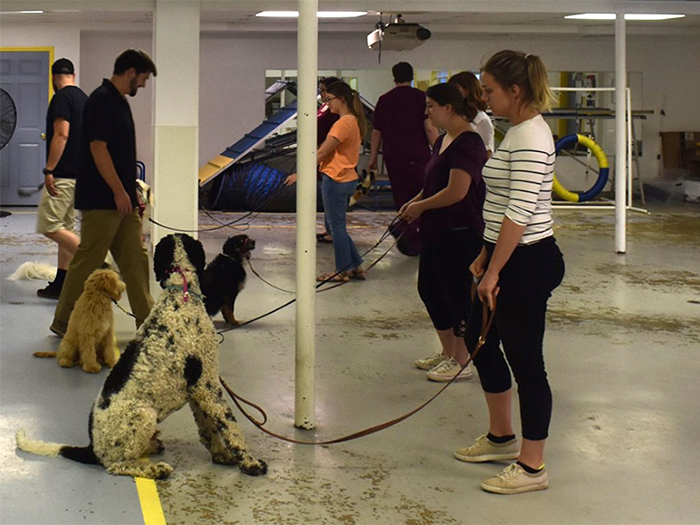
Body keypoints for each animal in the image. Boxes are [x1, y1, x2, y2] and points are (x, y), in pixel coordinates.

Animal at [17, 233, 268, 478]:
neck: (180, 295)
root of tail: (93, 448)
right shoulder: (208, 385)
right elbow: (230, 427)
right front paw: (250, 462)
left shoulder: (196, 389)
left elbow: (208, 428)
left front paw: (221, 455)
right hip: (144, 416)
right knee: (118, 465)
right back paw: (155, 469)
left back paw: (153, 446)